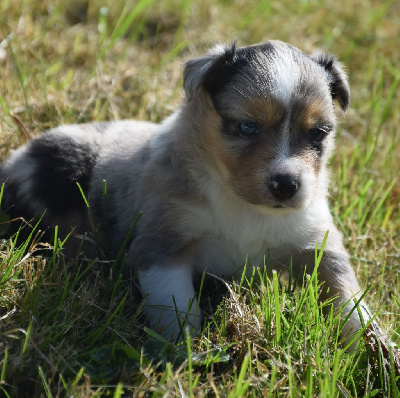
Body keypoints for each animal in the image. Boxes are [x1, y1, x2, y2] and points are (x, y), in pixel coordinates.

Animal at [0, 40, 376, 344]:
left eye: (318, 133)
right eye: (247, 127)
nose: (286, 185)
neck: (244, 205)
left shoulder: (318, 240)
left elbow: (349, 300)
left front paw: (374, 355)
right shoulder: (162, 242)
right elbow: (176, 305)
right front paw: (183, 354)